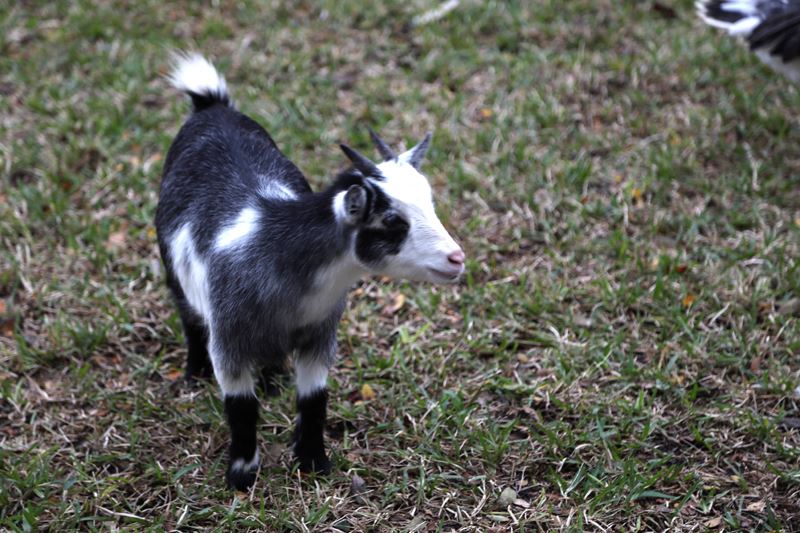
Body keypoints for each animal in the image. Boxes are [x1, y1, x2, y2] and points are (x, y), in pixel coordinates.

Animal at [155, 54, 465, 490]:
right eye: (391, 220)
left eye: (430, 203)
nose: (456, 258)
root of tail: (211, 105)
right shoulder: (229, 341)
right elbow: (241, 407)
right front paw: (242, 476)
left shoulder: (320, 333)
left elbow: (314, 398)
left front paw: (313, 462)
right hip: (174, 272)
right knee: (187, 316)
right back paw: (194, 372)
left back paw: (273, 379)